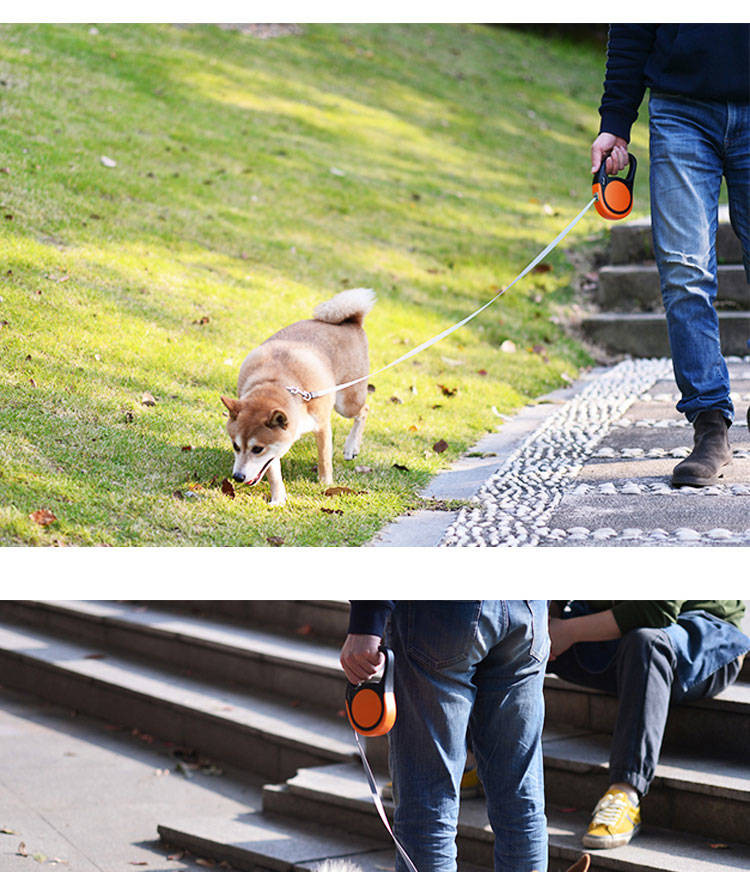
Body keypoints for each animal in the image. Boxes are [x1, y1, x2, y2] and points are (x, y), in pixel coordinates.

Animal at [222, 288, 376, 504]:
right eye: (235, 446)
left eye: (257, 449)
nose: (237, 477)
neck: (276, 382)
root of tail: (351, 321)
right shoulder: (278, 445)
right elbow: (273, 471)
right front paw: (278, 498)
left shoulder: (322, 425)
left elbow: (324, 457)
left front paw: (325, 482)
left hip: (347, 402)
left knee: (364, 410)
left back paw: (351, 447)